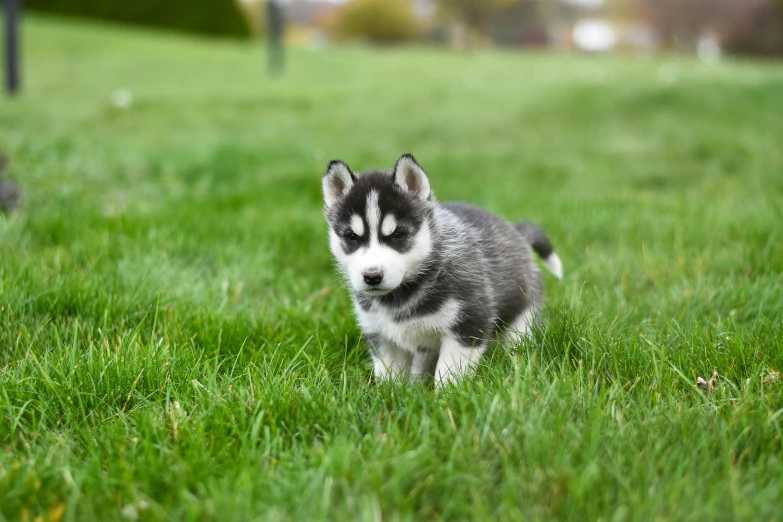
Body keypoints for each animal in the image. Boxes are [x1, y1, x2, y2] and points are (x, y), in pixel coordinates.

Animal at [322, 152, 560, 384]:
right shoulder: (382, 336)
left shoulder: (467, 325)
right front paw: (390, 393)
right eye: (352, 237)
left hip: (521, 319)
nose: (372, 276)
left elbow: (448, 374)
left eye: (398, 235)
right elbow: (389, 377)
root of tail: (516, 233)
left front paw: (447, 394)